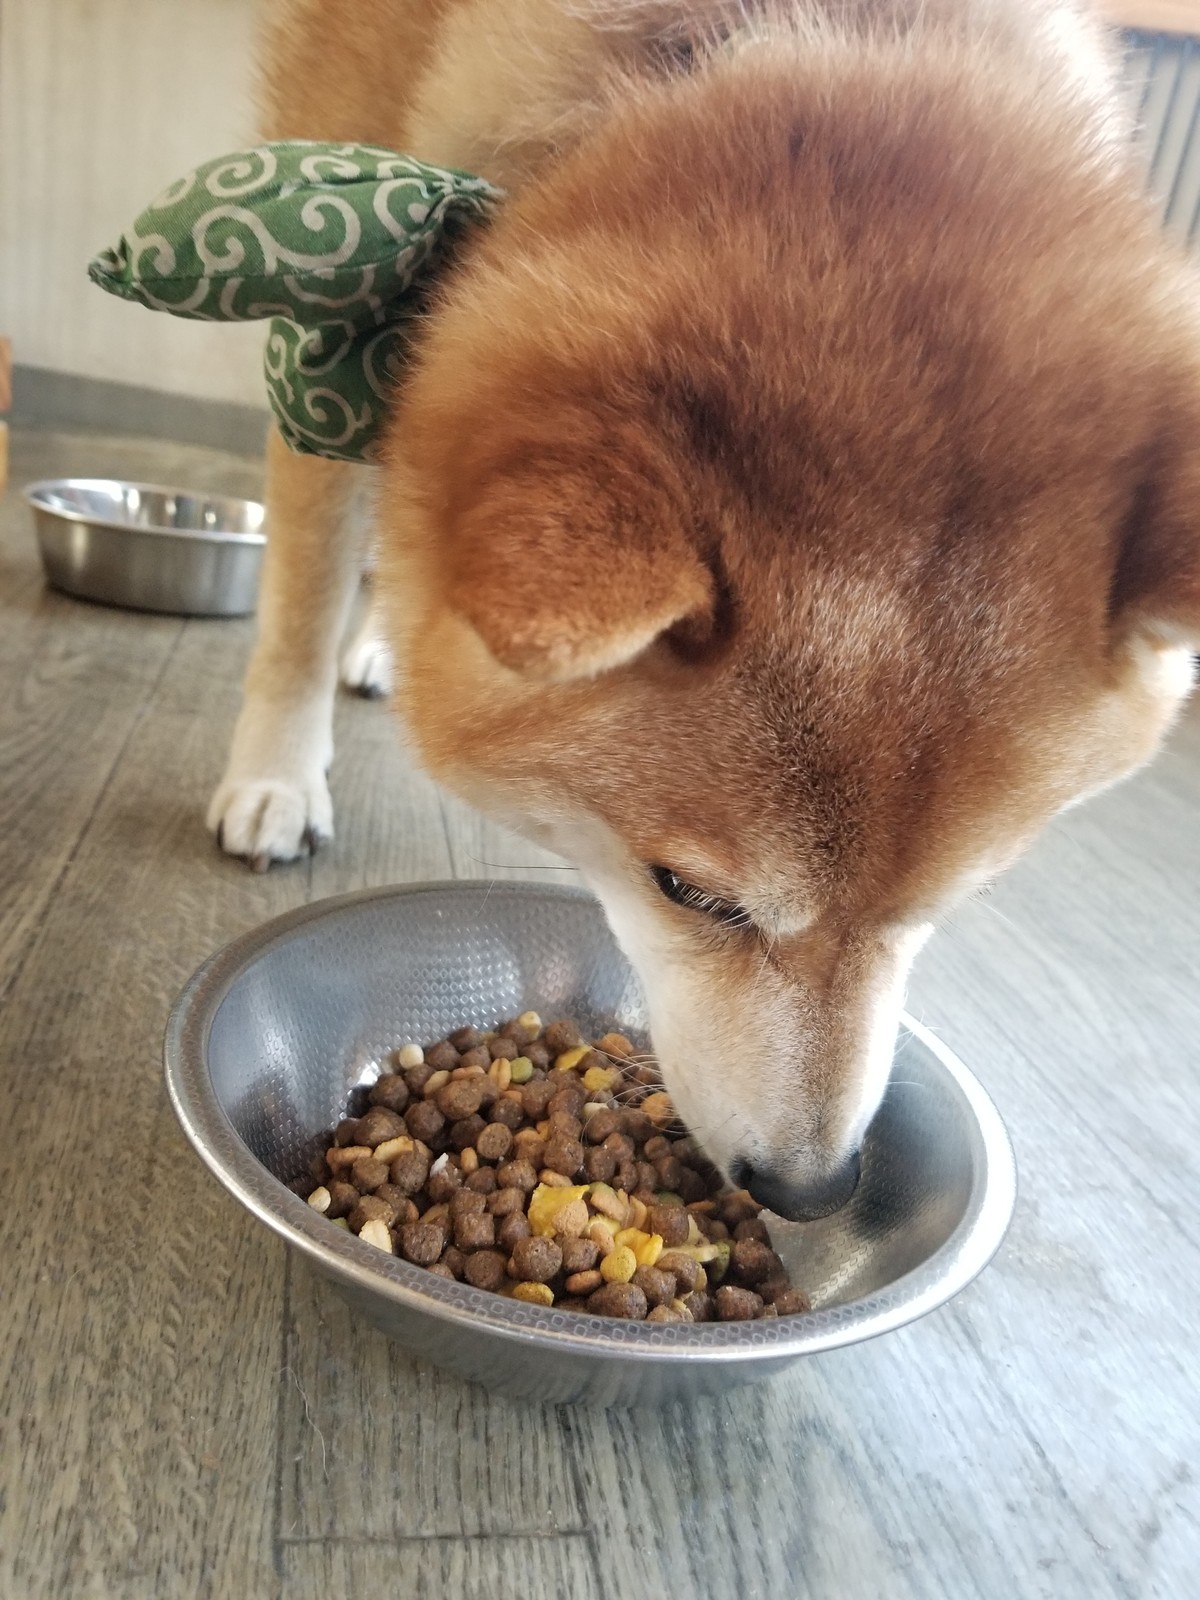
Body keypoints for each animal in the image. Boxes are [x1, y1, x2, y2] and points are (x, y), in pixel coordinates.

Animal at [208, 0, 1199, 1220]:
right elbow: (302, 590)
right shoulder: (337, 299)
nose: (812, 1190)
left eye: (956, 903)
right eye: (687, 893)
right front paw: (274, 779)